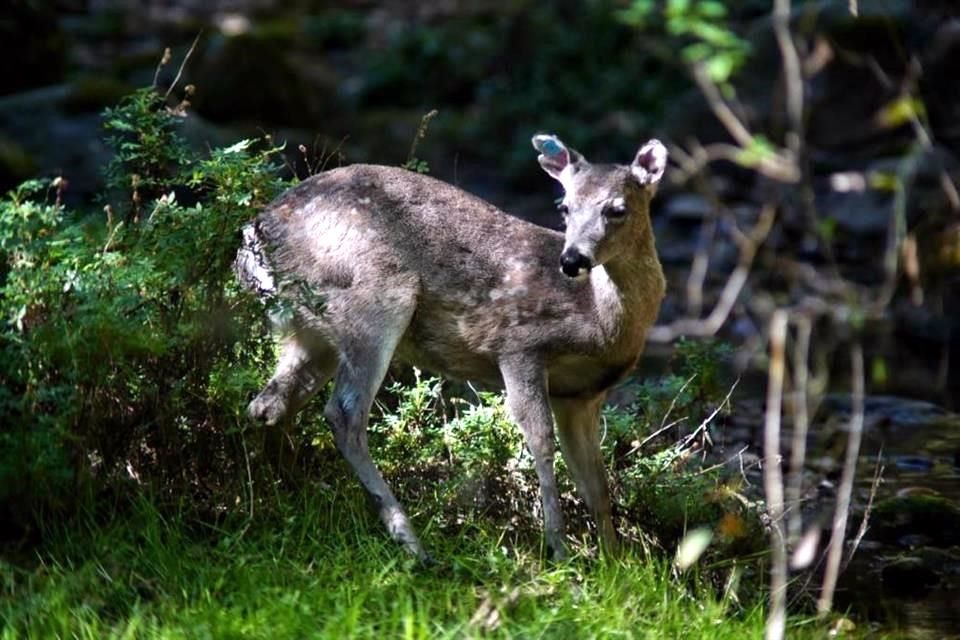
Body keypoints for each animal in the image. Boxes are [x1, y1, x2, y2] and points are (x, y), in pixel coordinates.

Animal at [236, 135, 664, 560]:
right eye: (564, 207)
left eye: (617, 209)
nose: (573, 259)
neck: (599, 323)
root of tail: (254, 239)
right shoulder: (518, 343)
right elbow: (541, 442)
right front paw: (559, 549)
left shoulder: (581, 394)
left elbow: (595, 481)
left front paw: (614, 557)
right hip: (373, 296)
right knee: (343, 413)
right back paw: (410, 541)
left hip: (315, 335)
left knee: (269, 404)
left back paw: (292, 497)